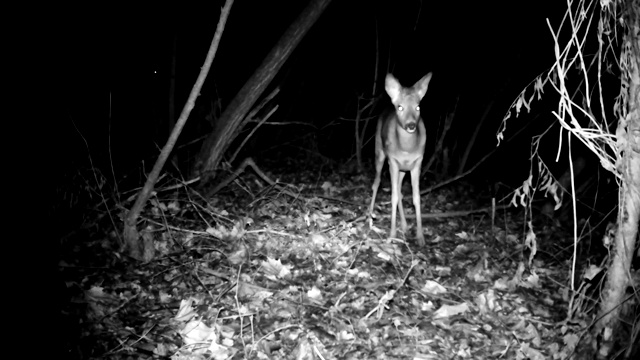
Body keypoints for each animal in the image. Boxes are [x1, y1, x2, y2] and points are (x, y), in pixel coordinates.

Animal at [368, 73, 432, 248]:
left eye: (418, 107)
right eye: (400, 107)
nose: (411, 125)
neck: (406, 149)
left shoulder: (417, 163)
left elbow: (416, 197)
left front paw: (420, 237)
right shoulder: (393, 162)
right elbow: (393, 196)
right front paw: (391, 235)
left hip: (404, 170)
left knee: (400, 190)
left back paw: (403, 225)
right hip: (380, 153)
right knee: (376, 183)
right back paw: (369, 216)